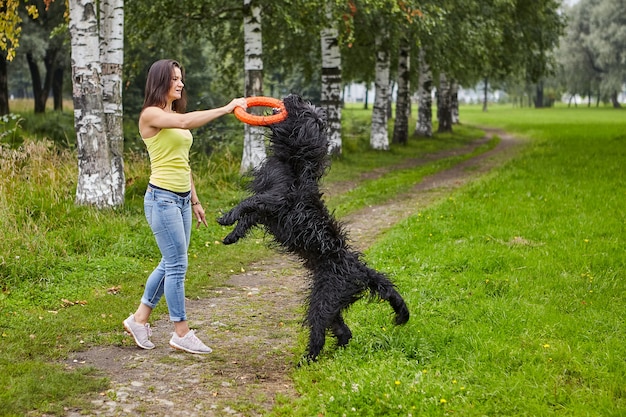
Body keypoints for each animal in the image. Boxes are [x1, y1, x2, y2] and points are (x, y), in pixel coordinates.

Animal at [219, 95, 410, 360]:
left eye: (306, 111)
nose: (293, 97)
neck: (295, 160)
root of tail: (360, 270)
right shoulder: (267, 211)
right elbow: (248, 218)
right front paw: (232, 235)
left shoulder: (276, 201)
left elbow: (248, 203)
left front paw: (227, 217)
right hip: (330, 302)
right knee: (343, 330)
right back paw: (334, 355)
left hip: (324, 299)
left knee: (321, 331)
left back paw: (308, 360)